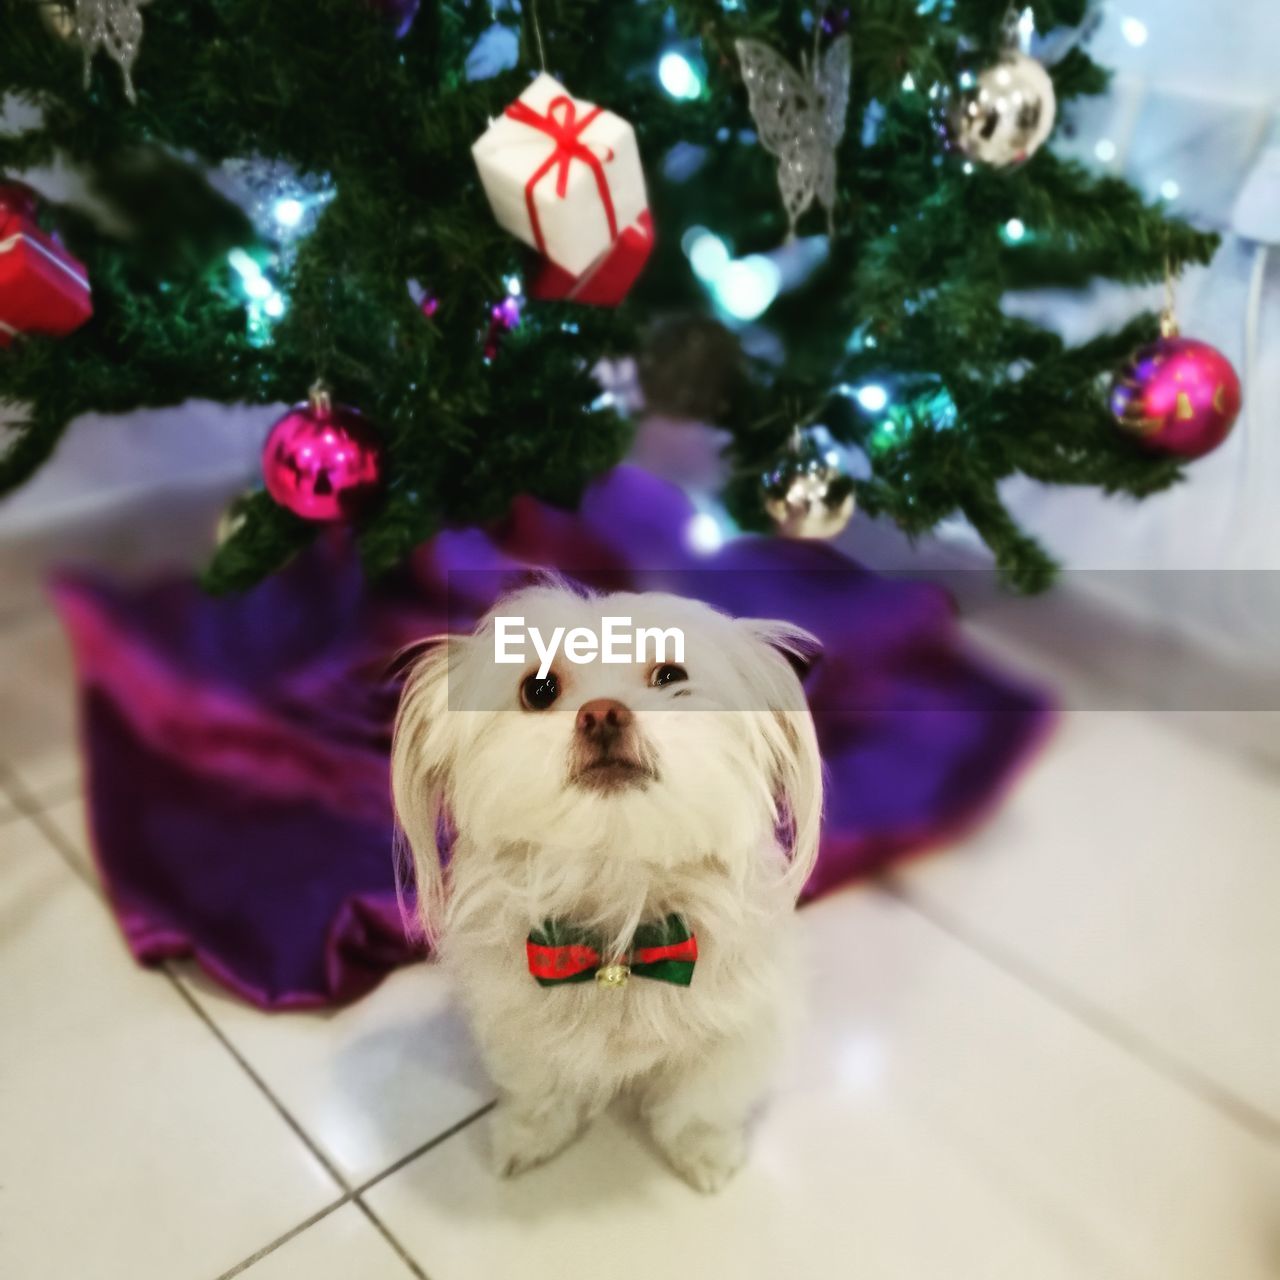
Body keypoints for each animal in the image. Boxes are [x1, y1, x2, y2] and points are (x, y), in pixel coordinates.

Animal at [389, 581, 819, 1187]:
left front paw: (706, 1154)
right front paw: (526, 1138)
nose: (602, 714)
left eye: (670, 675)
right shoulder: (519, 1024)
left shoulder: (737, 1030)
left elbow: (698, 1104)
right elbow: (540, 1089)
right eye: (538, 688)